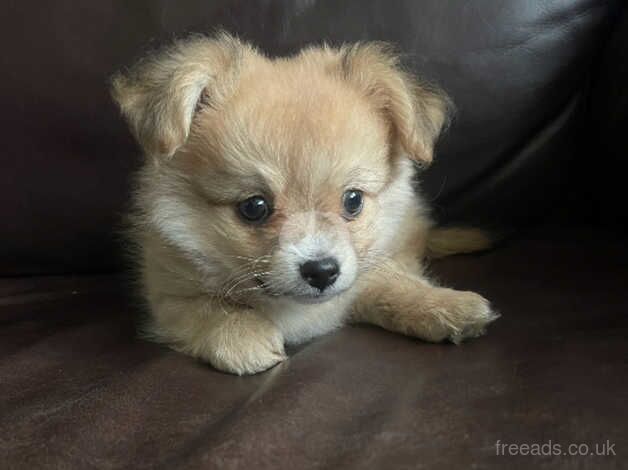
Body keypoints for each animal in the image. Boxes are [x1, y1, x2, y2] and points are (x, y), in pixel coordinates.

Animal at [110, 33, 498, 374]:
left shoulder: (366, 272)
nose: (322, 271)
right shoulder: (166, 298)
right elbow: (207, 307)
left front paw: (444, 306)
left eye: (353, 201)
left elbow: (392, 283)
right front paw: (240, 333)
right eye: (254, 207)